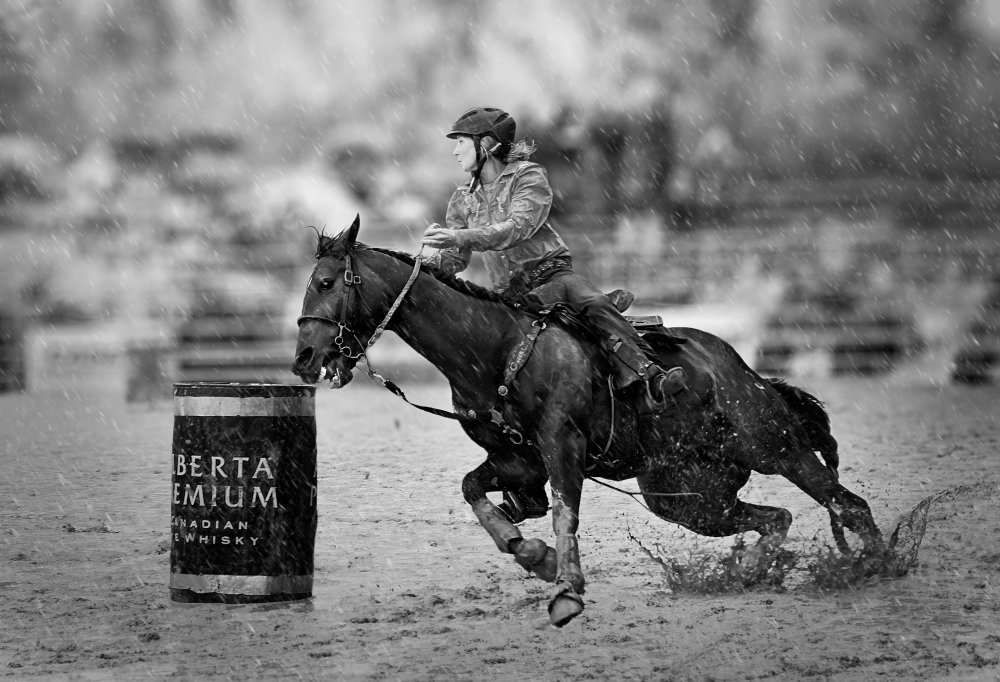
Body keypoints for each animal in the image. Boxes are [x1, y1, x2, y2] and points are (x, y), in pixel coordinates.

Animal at [292, 215, 888, 624]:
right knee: (775, 519)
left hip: (775, 447)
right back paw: (748, 572)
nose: (303, 357)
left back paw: (873, 567)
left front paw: (566, 589)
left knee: (847, 504)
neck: (494, 348)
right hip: (686, 495)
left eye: (327, 282)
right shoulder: (515, 461)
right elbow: (476, 492)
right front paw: (535, 557)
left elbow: (564, 511)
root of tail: (744, 371)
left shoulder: (563, 446)